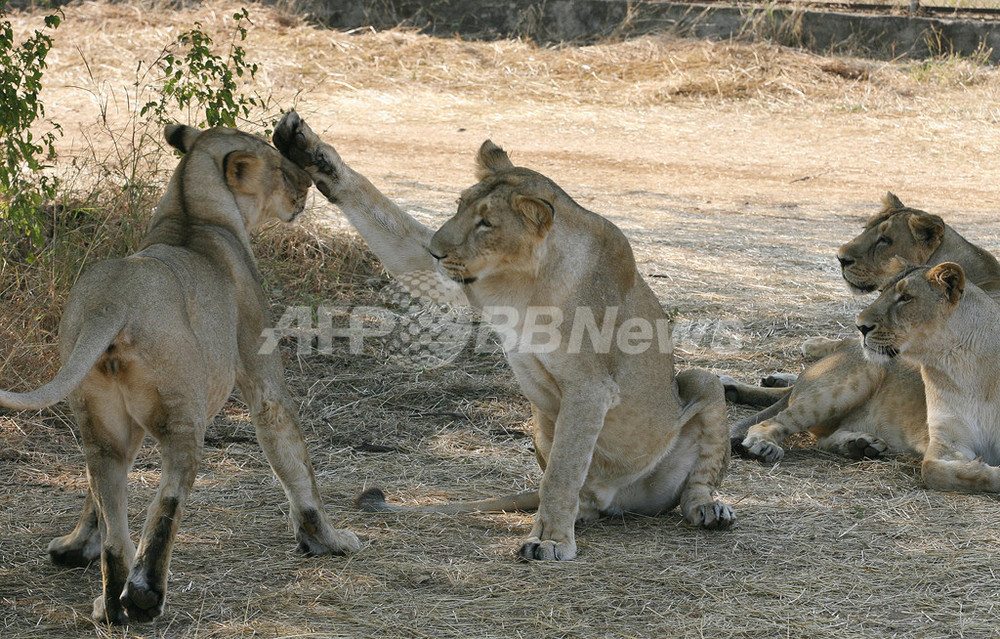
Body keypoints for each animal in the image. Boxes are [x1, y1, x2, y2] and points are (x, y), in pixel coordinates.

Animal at [0, 125, 360, 624]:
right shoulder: (262, 374)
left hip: (100, 423)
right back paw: (145, 596)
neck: (193, 212)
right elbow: (295, 462)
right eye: (280, 166)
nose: (306, 186)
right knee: (169, 496)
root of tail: (111, 303)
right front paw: (329, 539)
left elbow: (96, 502)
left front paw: (74, 547)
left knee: (113, 512)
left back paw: (111, 605)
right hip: (183, 414)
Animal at [274, 112, 736, 564]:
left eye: (487, 223)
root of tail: (619, 500)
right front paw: (310, 151)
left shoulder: (590, 386)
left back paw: (709, 508)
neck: (527, 278)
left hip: (701, 382)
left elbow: (563, 471)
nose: (438, 251)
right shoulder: (458, 278)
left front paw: (549, 540)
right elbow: (379, 210)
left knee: (696, 480)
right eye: (459, 206)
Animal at [856, 262, 1000, 492]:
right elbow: (932, 470)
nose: (860, 326)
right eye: (880, 292)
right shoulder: (948, 438)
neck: (963, 367)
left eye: (906, 297)